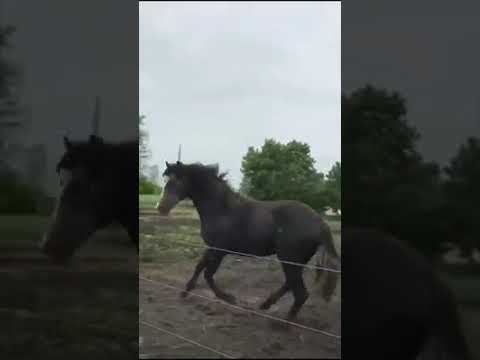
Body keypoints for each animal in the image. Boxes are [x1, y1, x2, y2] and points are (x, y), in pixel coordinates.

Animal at [158, 161, 342, 320]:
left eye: (176, 181)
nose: (160, 208)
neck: (222, 209)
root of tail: (321, 223)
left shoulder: (220, 251)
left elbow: (208, 274)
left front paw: (229, 298)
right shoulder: (211, 248)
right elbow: (199, 267)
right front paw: (185, 292)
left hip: (290, 259)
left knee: (300, 292)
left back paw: (283, 323)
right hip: (295, 261)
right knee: (290, 284)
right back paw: (265, 305)